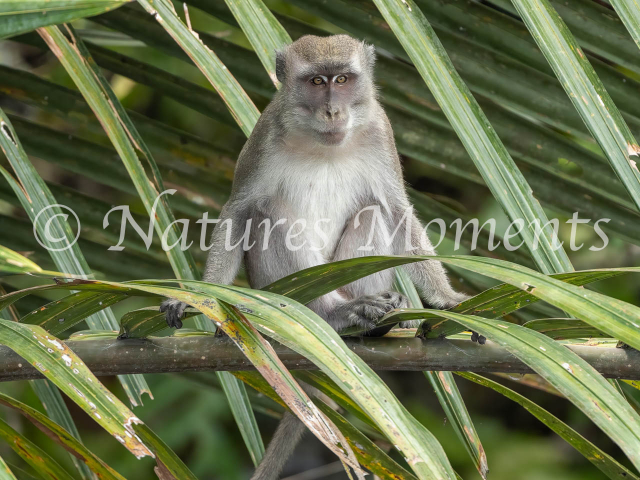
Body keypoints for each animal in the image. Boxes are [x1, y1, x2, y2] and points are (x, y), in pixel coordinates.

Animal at [161, 34, 464, 480]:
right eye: (317, 81)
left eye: (343, 79)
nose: (333, 109)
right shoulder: (265, 133)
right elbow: (239, 212)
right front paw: (200, 297)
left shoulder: (380, 131)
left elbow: (397, 212)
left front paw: (444, 300)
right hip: (274, 288)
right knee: (269, 211)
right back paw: (332, 315)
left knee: (372, 211)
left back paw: (371, 318)